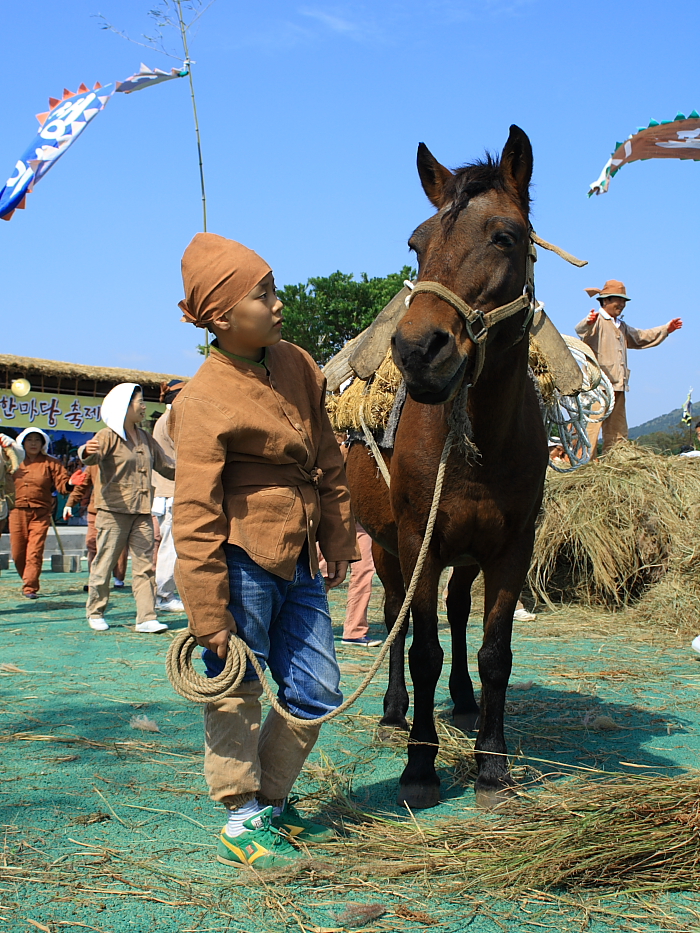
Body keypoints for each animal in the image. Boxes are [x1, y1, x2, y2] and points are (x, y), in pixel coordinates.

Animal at [344, 124, 548, 808]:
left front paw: (491, 764)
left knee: (459, 615)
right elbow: (423, 649)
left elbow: (493, 653)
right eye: (417, 244)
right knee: (397, 622)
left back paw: (461, 701)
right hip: (388, 549)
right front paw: (420, 764)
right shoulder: (419, 542)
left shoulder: (511, 548)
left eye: (505, 236)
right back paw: (393, 711)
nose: (417, 349)